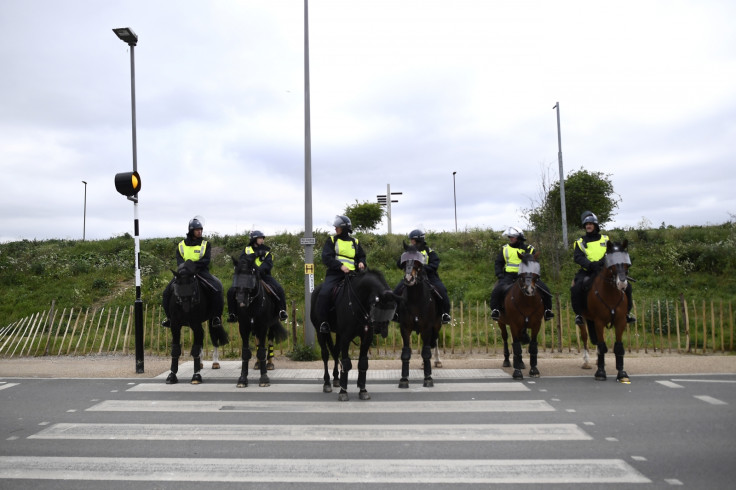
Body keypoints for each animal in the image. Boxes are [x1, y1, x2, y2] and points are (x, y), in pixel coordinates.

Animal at [230, 255, 288, 388]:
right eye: (236, 273)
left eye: (251, 274)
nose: (240, 301)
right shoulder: (244, 328)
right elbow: (246, 352)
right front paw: (242, 379)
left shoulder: (263, 327)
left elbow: (262, 351)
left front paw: (264, 378)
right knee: (257, 343)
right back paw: (257, 364)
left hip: (271, 325)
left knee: (270, 342)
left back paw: (269, 364)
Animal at [312, 270, 400, 400]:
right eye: (377, 306)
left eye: (392, 309)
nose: (381, 329)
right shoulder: (346, 337)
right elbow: (346, 363)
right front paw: (343, 392)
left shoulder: (366, 338)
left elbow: (363, 363)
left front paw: (363, 390)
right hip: (320, 332)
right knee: (325, 355)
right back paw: (327, 383)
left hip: (338, 334)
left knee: (335, 352)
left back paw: (336, 379)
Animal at [396, 244, 442, 386]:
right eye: (404, 261)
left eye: (418, 262)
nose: (408, 279)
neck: (415, 299)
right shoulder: (405, 328)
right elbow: (406, 353)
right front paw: (404, 379)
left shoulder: (427, 328)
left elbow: (426, 352)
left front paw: (428, 378)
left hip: (436, 325)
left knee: (434, 341)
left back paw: (437, 361)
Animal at [498, 251, 544, 380]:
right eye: (522, 274)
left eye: (535, 273)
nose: (529, 290)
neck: (527, 302)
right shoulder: (514, 325)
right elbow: (517, 347)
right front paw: (517, 372)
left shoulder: (536, 325)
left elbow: (533, 346)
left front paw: (534, 370)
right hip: (501, 323)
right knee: (505, 338)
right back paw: (507, 361)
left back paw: (521, 362)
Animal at [580, 239, 632, 384]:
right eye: (612, 265)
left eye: (626, 264)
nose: (622, 284)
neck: (610, 294)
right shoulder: (598, 322)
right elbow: (602, 345)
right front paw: (601, 373)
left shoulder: (621, 321)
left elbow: (618, 347)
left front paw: (621, 373)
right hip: (583, 319)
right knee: (585, 337)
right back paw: (587, 362)